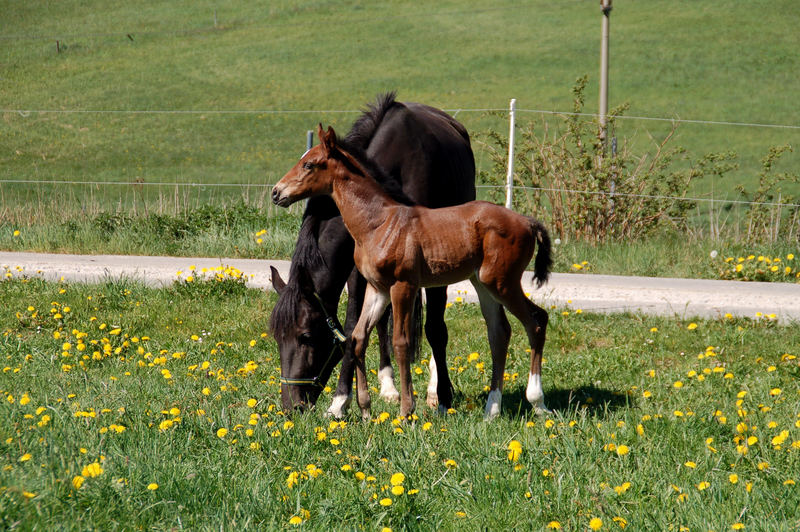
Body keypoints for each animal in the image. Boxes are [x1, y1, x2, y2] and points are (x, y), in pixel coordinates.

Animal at [268, 94, 476, 416]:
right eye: (277, 337)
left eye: (306, 336)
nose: (292, 406)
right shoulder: (360, 272)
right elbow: (354, 326)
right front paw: (341, 400)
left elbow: (435, 328)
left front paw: (441, 397)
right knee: (382, 321)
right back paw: (388, 385)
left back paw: (433, 388)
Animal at [272, 125, 552, 420]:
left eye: (309, 164)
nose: (277, 192)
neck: (378, 222)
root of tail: (529, 222)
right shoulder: (377, 289)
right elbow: (358, 338)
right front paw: (365, 409)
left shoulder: (402, 285)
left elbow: (401, 342)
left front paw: (406, 411)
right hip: (483, 284)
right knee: (499, 333)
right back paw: (492, 409)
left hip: (501, 282)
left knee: (536, 321)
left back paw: (538, 402)